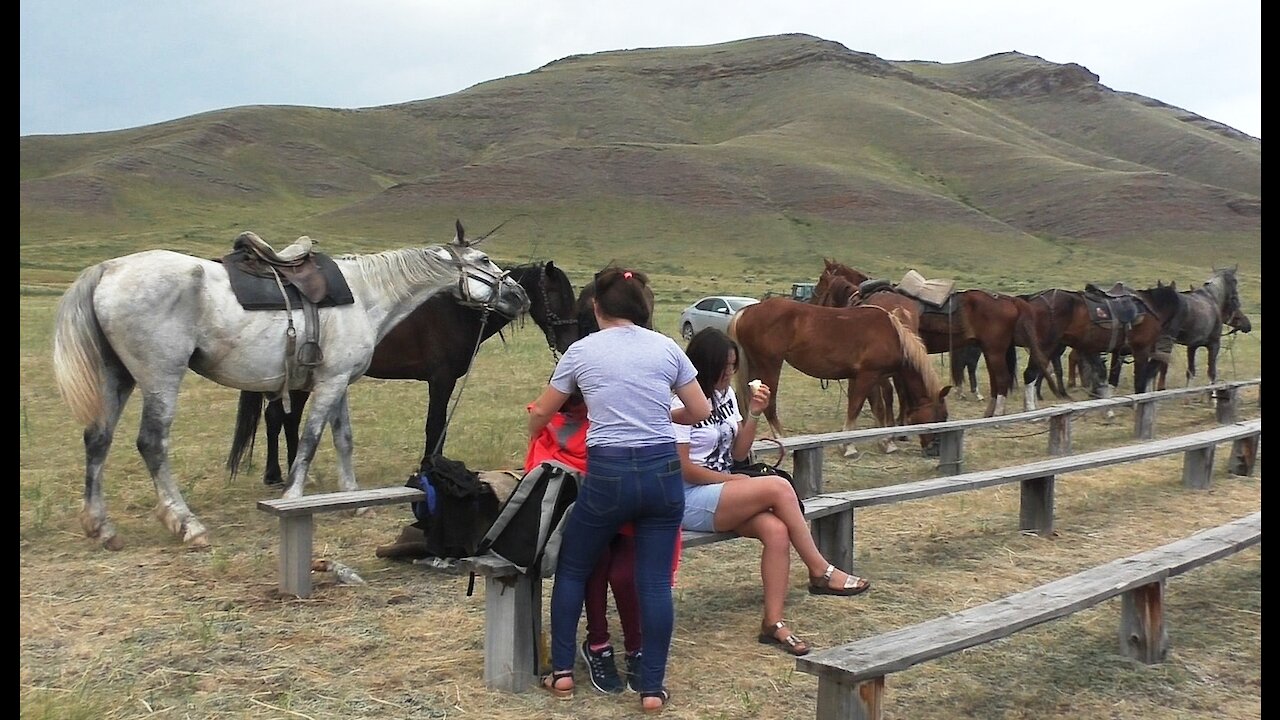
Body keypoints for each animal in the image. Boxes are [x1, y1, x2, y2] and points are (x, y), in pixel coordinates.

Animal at [52, 221, 527, 545]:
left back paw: (100, 525)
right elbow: (312, 438)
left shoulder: (339, 381)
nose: (519, 295)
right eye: (484, 261)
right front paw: (295, 496)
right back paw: (187, 523)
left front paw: (354, 500)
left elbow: (343, 439)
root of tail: (108, 269)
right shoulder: (330, 383)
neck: (366, 294)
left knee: (97, 438)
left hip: (118, 377)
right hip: (160, 377)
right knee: (151, 443)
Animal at [230, 258, 581, 481]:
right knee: (283, 419)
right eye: (556, 294)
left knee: (279, 418)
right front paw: (428, 466)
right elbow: (435, 424)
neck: (458, 311)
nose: (570, 342)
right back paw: (284, 473)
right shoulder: (441, 380)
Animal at [732, 295, 952, 453]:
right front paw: (848, 446)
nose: (934, 450)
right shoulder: (867, 376)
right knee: (770, 405)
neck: (893, 335)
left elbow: (878, 408)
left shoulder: (872, 377)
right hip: (770, 365)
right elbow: (855, 408)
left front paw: (885, 441)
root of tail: (746, 311)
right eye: (940, 416)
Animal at [814, 257, 1064, 415]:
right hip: (991, 349)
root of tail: (1009, 299)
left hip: (994, 349)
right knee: (997, 382)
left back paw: (995, 416)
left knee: (1001, 380)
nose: (813, 300)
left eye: (821, 281)